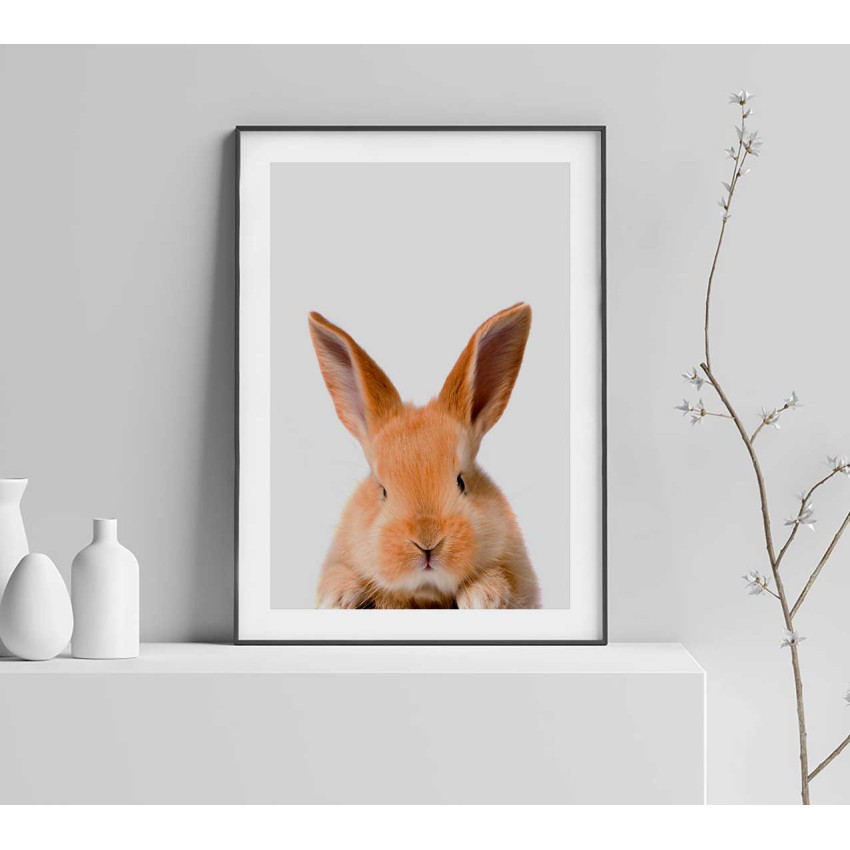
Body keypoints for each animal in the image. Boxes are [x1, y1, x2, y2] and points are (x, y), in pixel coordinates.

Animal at [308, 302, 542, 610]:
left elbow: (505, 579)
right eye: (382, 490)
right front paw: (338, 597)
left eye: (461, 482)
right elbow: (337, 574)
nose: (427, 543)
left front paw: (482, 596)